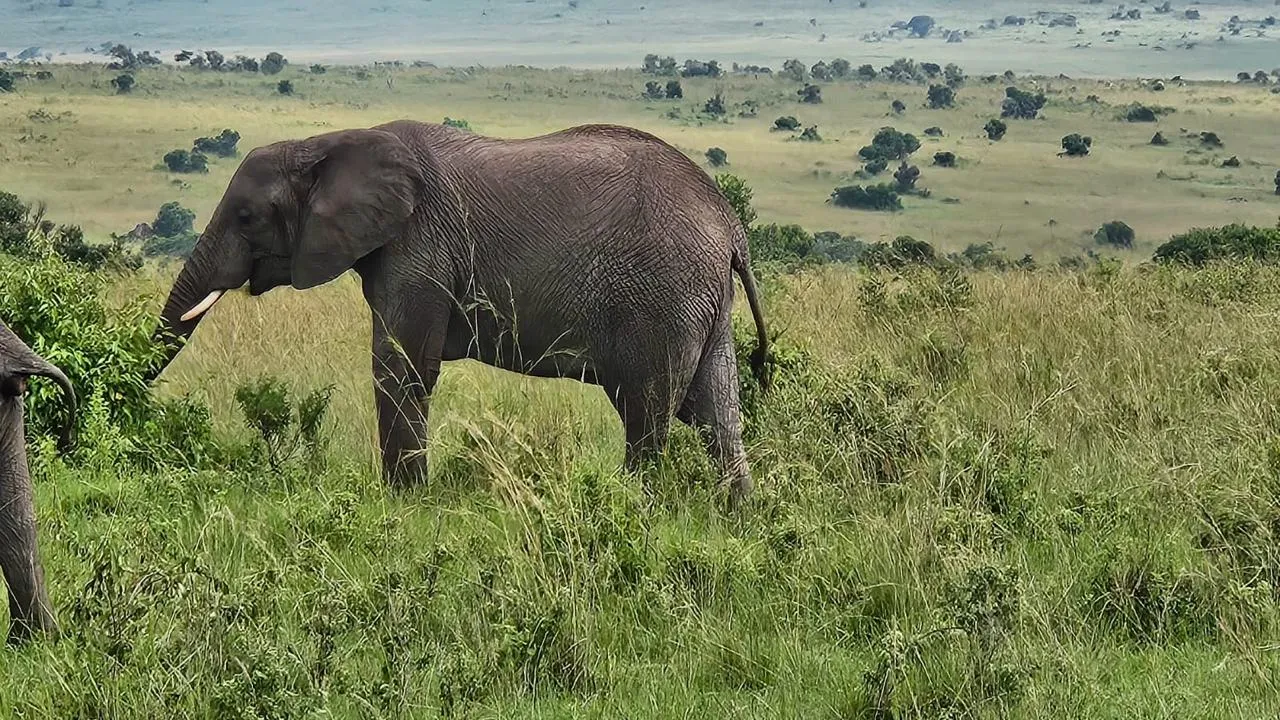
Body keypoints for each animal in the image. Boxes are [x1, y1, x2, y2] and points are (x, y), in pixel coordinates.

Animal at [149, 120, 768, 502]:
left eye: (247, 217)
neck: (326, 143)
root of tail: (729, 225)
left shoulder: (419, 247)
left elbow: (401, 369)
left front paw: (405, 505)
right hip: (702, 299)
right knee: (716, 409)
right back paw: (736, 515)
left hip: (660, 296)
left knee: (649, 411)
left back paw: (636, 506)